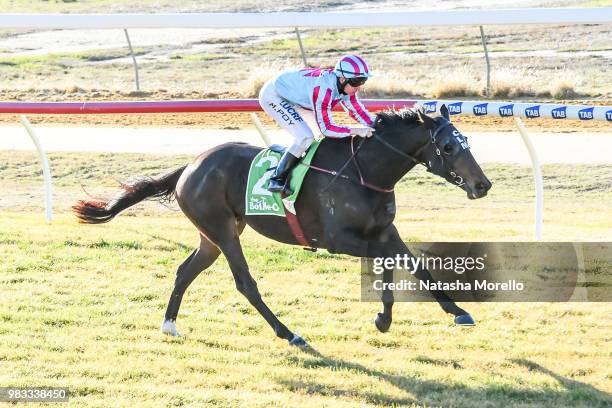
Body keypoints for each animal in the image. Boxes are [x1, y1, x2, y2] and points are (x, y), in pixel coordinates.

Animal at [73, 104, 492, 344]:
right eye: (449, 147)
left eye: (467, 141)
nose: (482, 185)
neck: (365, 172)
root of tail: (190, 166)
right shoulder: (338, 240)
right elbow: (389, 264)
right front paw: (383, 317)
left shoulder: (384, 231)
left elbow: (417, 266)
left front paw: (457, 311)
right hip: (223, 232)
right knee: (245, 283)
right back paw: (288, 333)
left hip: (212, 235)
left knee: (185, 270)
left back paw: (169, 324)